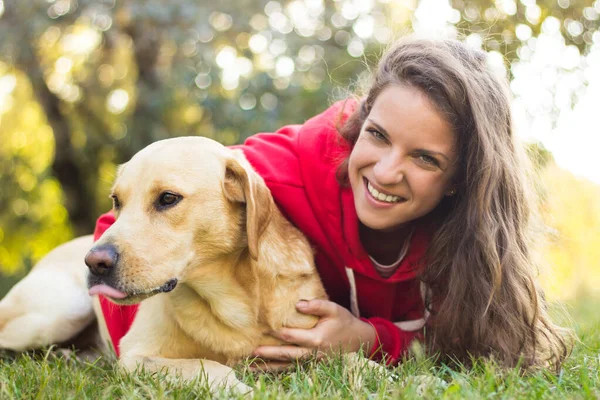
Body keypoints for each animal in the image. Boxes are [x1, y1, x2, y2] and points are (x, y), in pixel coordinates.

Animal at [1, 137, 328, 390]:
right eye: (116, 201)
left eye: (168, 198)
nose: (94, 263)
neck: (235, 304)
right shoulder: (135, 356)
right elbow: (208, 365)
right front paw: (243, 389)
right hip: (59, 312)